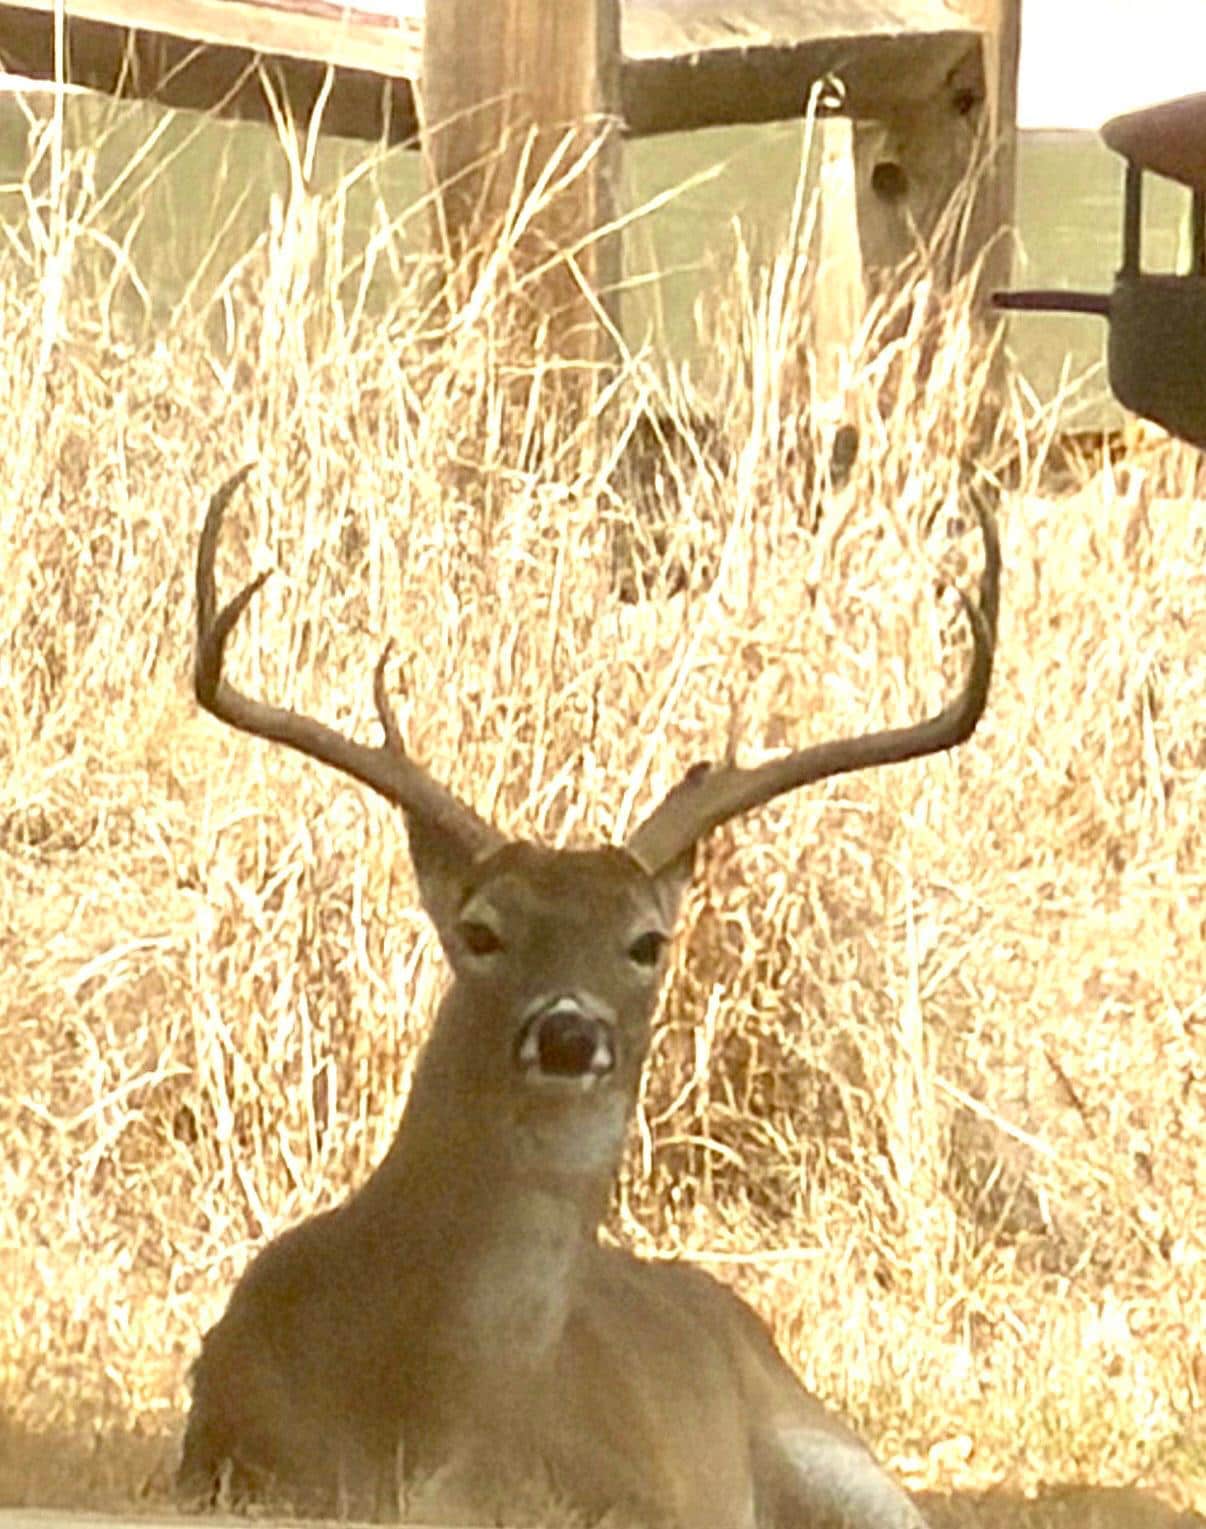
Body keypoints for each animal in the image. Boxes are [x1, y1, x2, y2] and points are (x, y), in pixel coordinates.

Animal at [178, 464, 1000, 1529]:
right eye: (482, 929)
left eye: (646, 941)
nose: (568, 1032)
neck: (444, 1424)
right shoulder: (227, 1453)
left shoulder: (653, 1494)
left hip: (838, 1454)